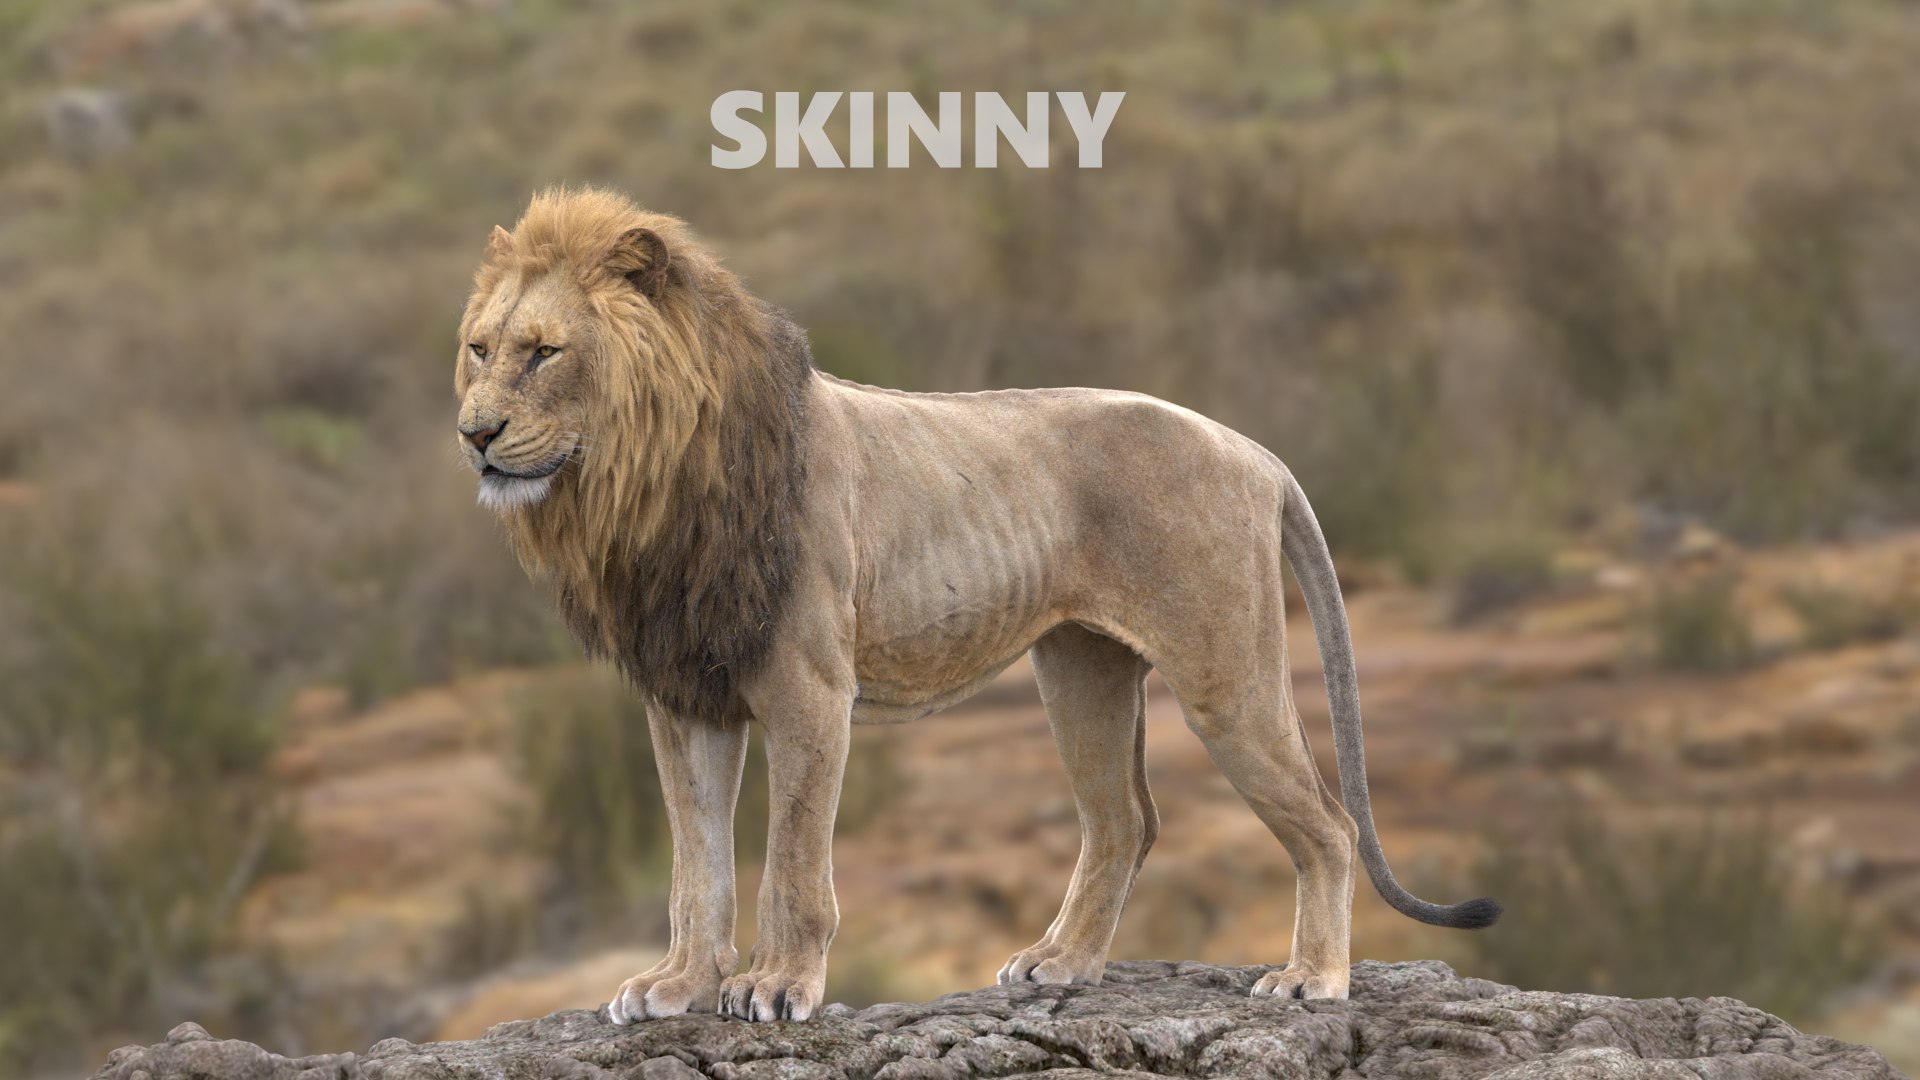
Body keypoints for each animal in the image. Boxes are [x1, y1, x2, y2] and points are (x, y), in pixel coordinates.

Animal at [454, 187, 1499, 1024]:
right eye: (479, 349)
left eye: (544, 353)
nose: (474, 433)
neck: (645, 487)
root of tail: (1254, 449)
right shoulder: (685, 697)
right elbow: (695, 862)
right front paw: (677, 986)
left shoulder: (808, 690)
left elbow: (792, 862)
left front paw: (778, 987)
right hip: (1081, 668)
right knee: (1125, 819)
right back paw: (1061, 965)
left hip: (1223, 673)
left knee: (1327, 823)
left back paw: (1312, 979)